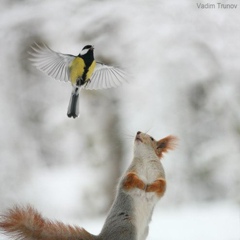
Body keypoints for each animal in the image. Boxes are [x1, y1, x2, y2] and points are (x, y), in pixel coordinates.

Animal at [0, 131, 176, 240]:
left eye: (152, 138)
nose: (138, 132)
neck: (144, 161)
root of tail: (103, 237)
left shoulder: (161, 178)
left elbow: (160, 187)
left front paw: (149, 187)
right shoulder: (128, 175)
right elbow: (130, 181)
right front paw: (142, 184)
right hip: (127, 228)